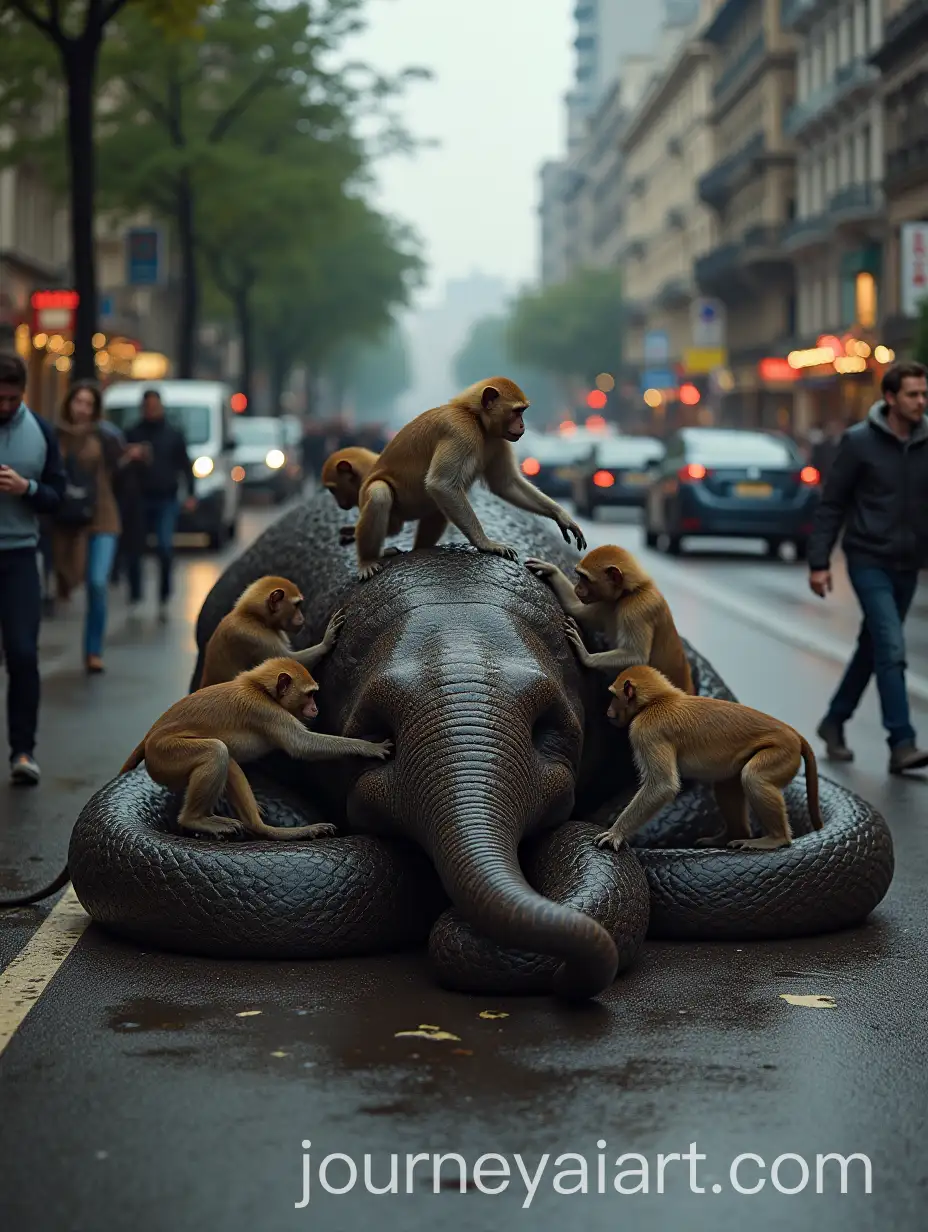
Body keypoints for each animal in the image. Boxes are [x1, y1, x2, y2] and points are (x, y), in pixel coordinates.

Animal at [119, 657, 393, 841]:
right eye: (309, 695)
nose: (316, 708)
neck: (260, 688)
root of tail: (149, 738)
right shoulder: (266, 711)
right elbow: (301, 746)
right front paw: (368, 747)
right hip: (165, 755)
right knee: (217, 752)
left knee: (227, 760)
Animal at [351, 377, 587, 580]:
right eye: (517, 411)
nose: (523, 426)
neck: (476, 419)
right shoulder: (460, 430)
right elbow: (442, 484)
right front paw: (486, 543)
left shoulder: (497, 441)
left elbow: (506, 484)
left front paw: (560, 515)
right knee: (380, 493)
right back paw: (368, 560)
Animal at [526, 545, 694, 693]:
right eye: (579, 576)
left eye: (584, 578)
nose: (577, 588)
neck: (630, 592)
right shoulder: (608, 602)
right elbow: (575, 608)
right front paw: (551, 570)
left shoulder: (636, 609)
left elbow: (637, 658)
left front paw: (586, 656)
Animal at [592, 665, 822, 854]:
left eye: (614, 696)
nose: (608, 710)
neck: (659, 699)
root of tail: (793, 733)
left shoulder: (646, 730)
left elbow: (662, 786)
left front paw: (616, 833)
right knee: (727, 783)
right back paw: (731, 836)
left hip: (782, 752)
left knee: (753, 778)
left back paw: (776, 839)